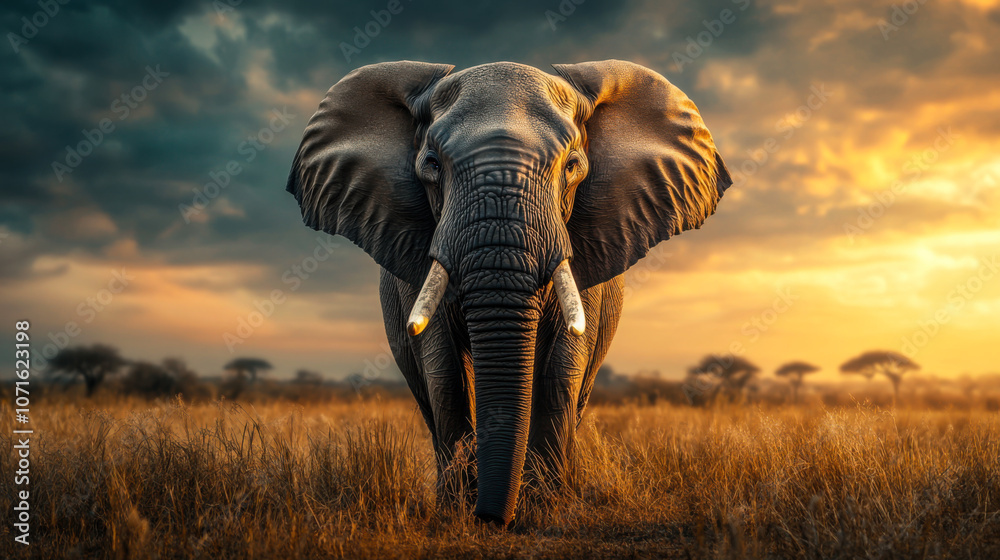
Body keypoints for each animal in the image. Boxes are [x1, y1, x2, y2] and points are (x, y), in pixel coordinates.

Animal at [285, 59, 732, 525]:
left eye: (572, 167)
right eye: (432, 165)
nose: (491, 518)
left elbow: (561, 368)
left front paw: (543, 507)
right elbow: (444, 368)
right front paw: (459, 509)